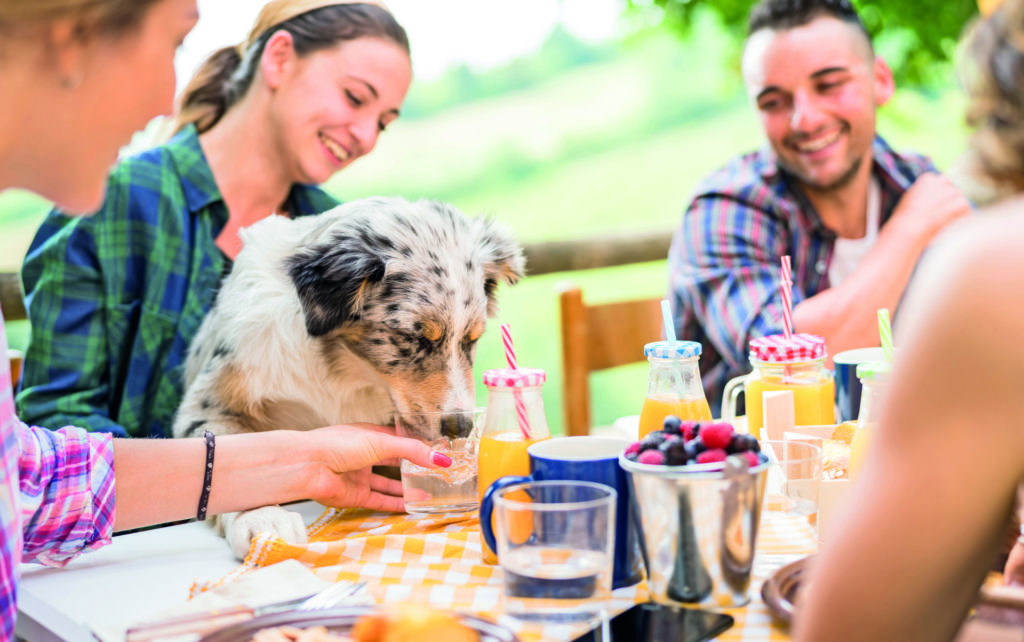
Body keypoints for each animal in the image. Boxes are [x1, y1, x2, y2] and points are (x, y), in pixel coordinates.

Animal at [173, 195, 524, 557]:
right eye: (413, 338)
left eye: (472, 339)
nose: (461, 427)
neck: (343, 369)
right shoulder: (210, 403)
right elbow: (231, 457)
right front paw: (261, 518)